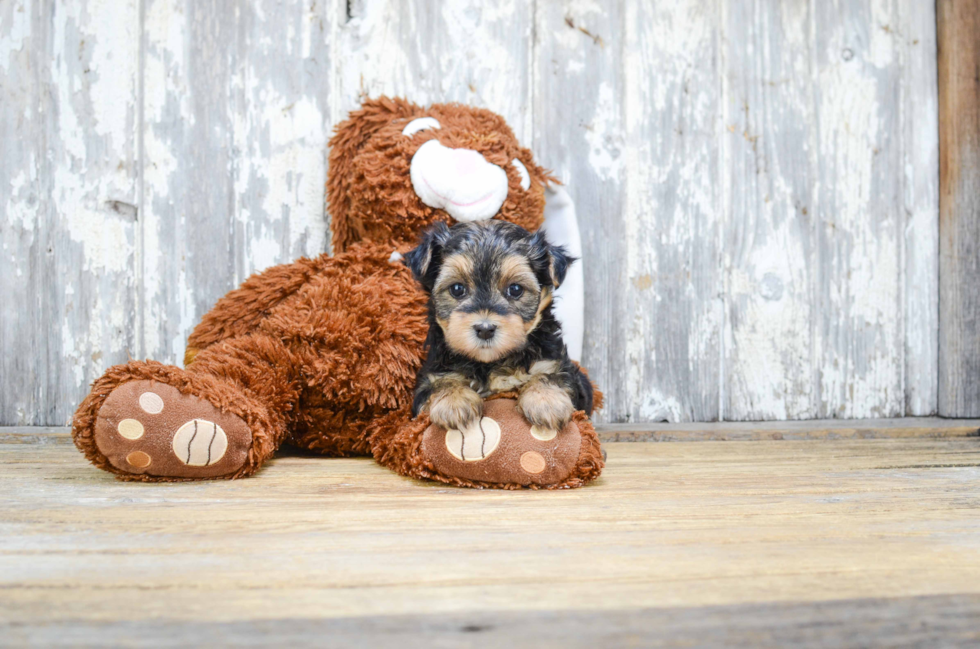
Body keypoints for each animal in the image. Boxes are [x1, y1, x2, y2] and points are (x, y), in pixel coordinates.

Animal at [402, 219, 592, 436]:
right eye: (457, 289)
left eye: (515, 289)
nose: (485, 329)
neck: (491, 363)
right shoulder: (430, 375)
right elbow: (438, 383)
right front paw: (454, 401)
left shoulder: (560, 367)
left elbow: (550, 375)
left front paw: (546, 401)